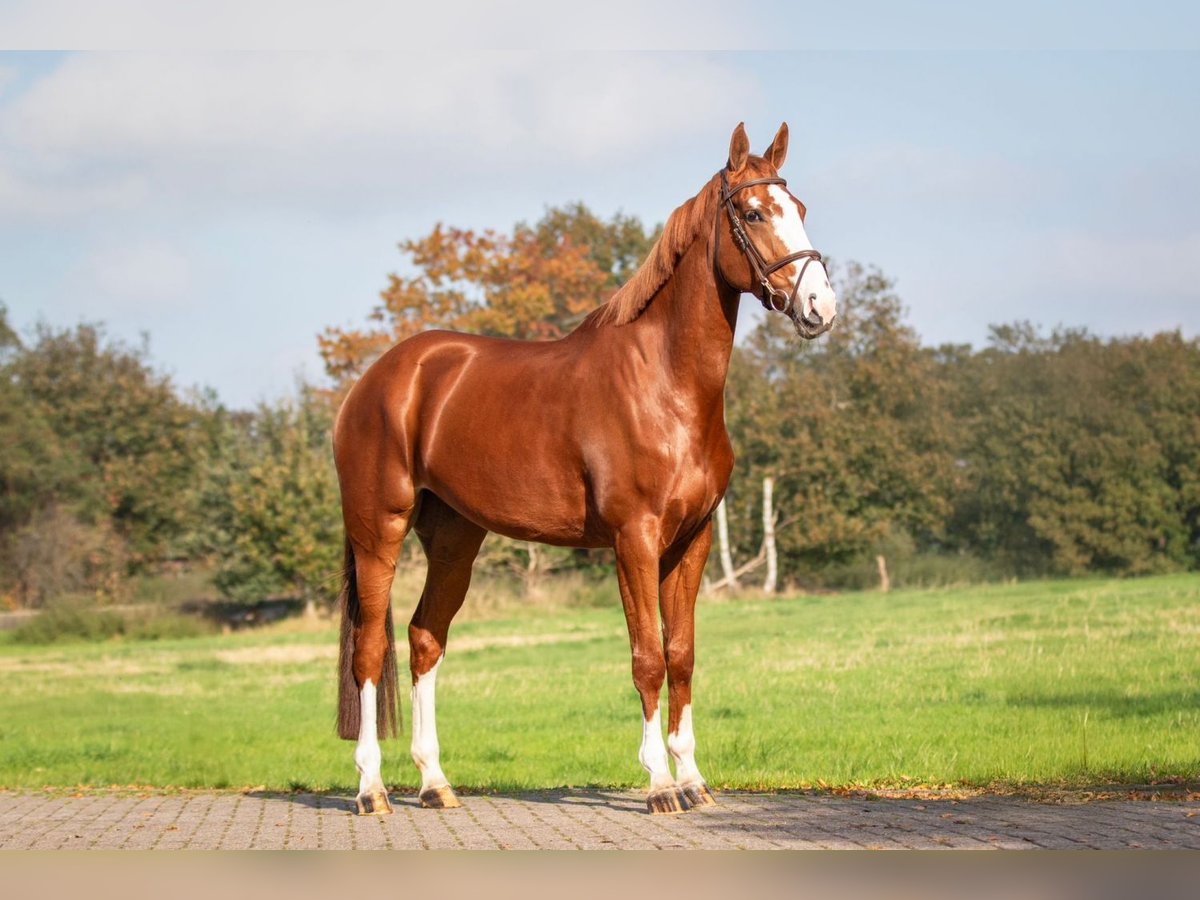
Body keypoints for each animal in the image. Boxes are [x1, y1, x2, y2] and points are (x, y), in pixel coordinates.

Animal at [328, 123, 835, 820]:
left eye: (802, 208)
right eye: (755, 213)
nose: (820, 307)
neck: (665, 383)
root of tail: (376, 379)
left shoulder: (692, 542)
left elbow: (682, 655)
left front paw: (693, 779)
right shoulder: (634, 540)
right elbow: (647, 659)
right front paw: (659, 786)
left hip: (455, 538)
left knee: (425, 639)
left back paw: (434, 783)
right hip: (379, 529)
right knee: (370, 650)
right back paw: (372, 790)